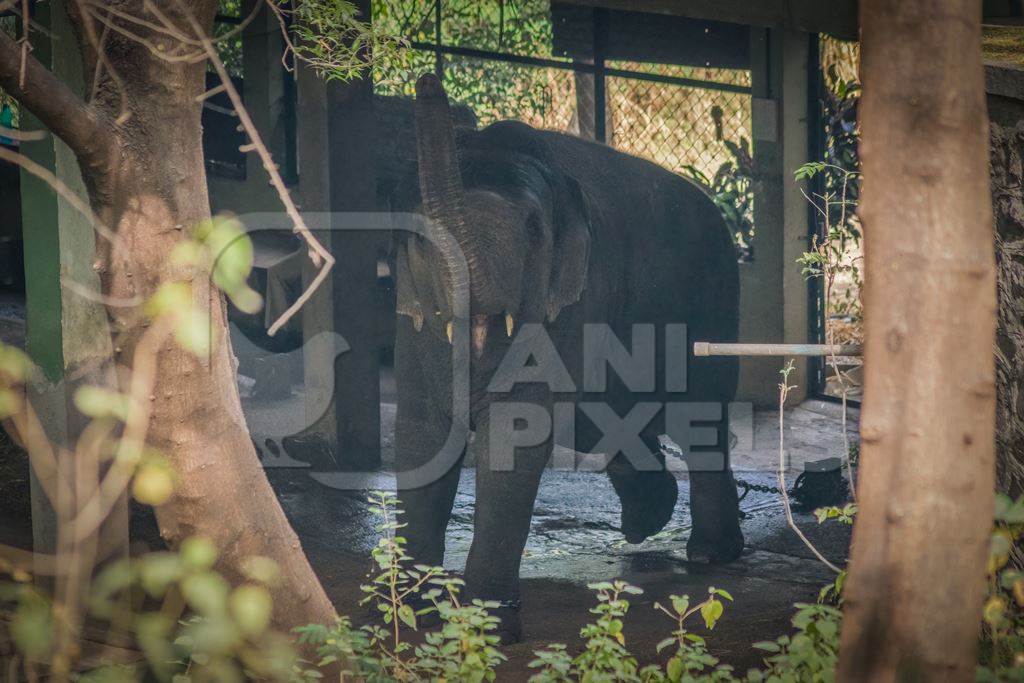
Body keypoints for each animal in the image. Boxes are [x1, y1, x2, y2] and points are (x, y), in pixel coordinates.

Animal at [391, 74, 745, 643]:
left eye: (534, 229)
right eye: (423, 240)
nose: (427, 80)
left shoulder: (573, 299)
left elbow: (514, 432)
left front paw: (489, 630)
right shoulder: (413, 310)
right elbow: (422, 431)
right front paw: (406, 614)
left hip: (713, 296)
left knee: (700, 418)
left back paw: (710, 555)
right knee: (609, 421)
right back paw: (646, 522)